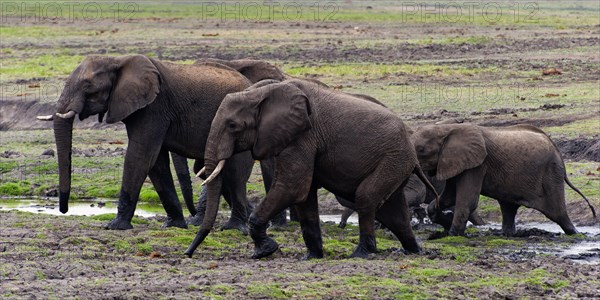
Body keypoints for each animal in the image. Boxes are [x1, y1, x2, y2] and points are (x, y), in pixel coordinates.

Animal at [38, 55, 255, 231]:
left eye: (88, 86)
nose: (64, 210)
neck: (117, 60)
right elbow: (156, 162)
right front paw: (173, 225)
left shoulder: (154, 107)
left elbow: (140, 156)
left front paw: (114, 226)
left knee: (235, 172)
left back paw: (235, 227)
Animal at [185, 79, 428, 260]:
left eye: (233, 126)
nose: (188, 254)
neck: (259, 93)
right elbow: (305, 196)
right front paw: (311, 257)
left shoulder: (302, 136)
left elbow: (292, 188)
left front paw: (264, 251)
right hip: (396, 162)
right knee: (394, 213)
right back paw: (414, 252)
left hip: (393, 158)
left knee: (366, 197)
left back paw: (361, 255)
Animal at [410, 123, 596, 236]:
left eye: (421, 149)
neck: (448, 128)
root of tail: (557, 150)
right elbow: (449, 197)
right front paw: (441, 219)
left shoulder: (477, 165)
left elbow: (467, 201)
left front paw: (452, 235)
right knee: (508, 209)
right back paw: (507, 234)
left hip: (552, 174)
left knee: (558, 213)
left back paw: (575, 234)